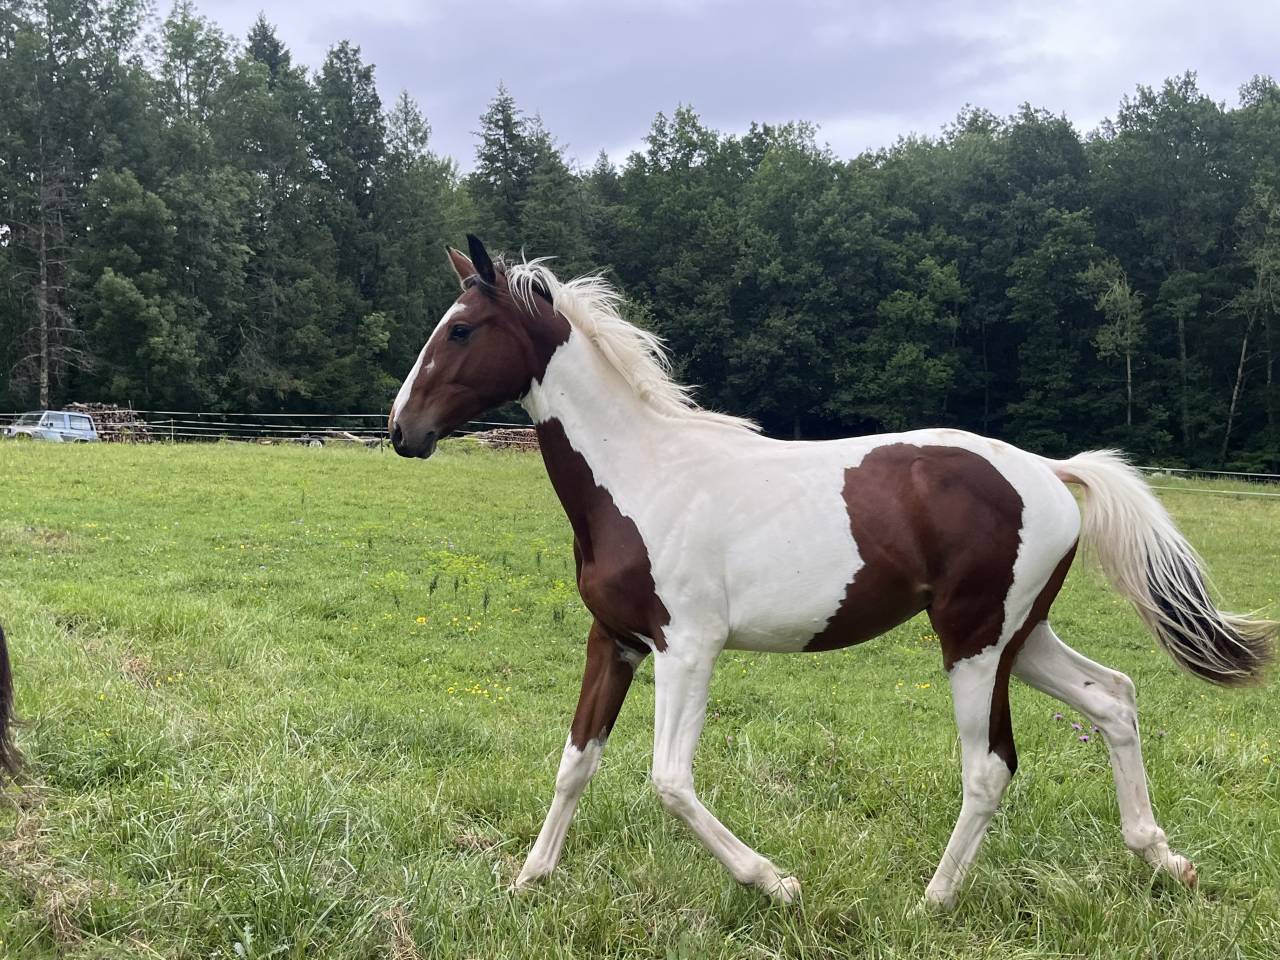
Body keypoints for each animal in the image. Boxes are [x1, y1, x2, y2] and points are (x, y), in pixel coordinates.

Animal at [388, 235, 1275, 908]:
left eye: (461, 330)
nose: (402, 430)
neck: (643, 476)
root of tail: (1051, 473)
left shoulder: (688, 648)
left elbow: (669, 780)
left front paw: (776, 882)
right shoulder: (617, 641)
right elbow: (577, 763)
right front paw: (528, 879)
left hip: (974, 640)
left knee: (989, 767)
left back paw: (933, 901)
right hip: (1023, 636)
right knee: (1114, 699)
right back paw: (1164, 858)